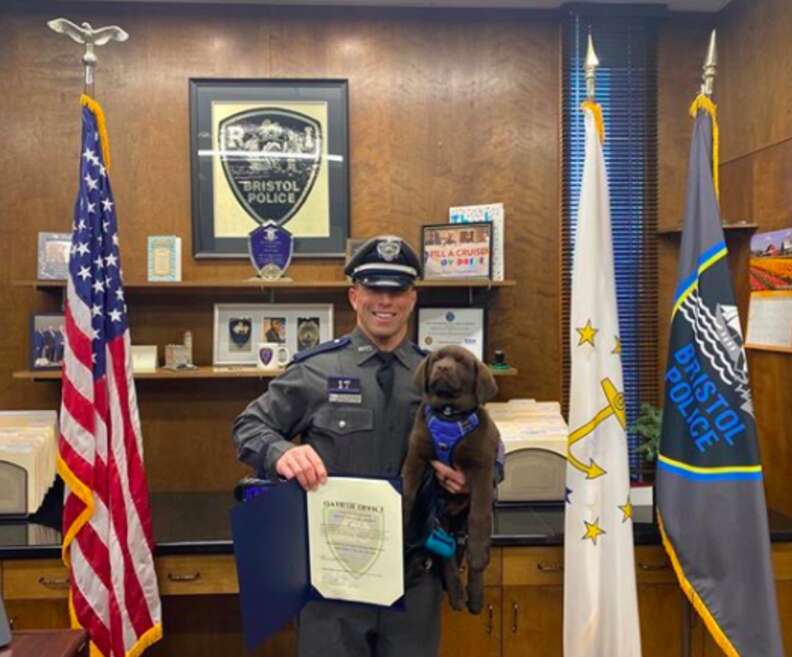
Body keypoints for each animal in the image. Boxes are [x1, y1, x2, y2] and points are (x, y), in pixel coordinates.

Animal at [406, 346, 498, 612]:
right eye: (436, 359)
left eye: (462, 362)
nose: (442, 368)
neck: (448, 413)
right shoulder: (416, 456)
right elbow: (406, 491)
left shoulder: (482, 467)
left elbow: (480, 513)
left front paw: (478, 553)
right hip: (442, 523)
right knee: (447, 558)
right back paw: (457, 594)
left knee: (474, 565)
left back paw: (475, 597)